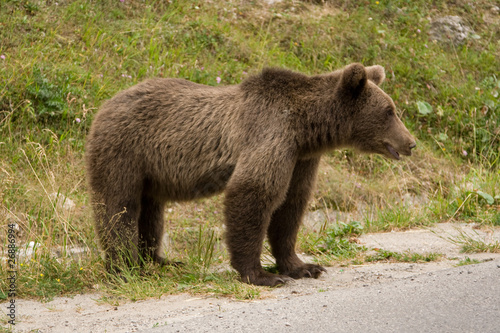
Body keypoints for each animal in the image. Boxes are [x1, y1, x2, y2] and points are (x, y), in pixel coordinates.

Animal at [85, 63, 414, 286]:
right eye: (389, 111)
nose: (410, 143)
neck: (306, 129)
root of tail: (104, 105)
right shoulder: (270, 133)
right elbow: (253, 192)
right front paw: (261, 274)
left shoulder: (301, 159)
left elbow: (291, 206)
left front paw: (304, 266)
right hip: (124, 152)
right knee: (118, 207)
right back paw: (124, 268)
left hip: (152, 173)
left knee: (151, 213)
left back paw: (160, 260)